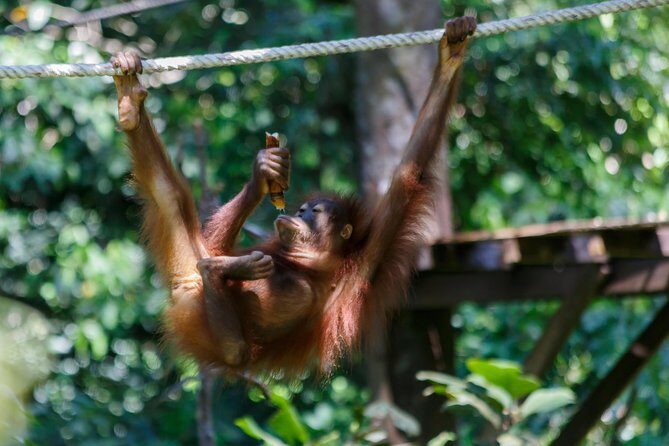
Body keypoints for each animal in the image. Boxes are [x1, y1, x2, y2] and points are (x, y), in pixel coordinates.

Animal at [111, 16, 476, 378]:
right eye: (301, 208)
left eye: (314, 211)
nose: (298, 214)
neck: (315, 261)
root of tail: (187, 288)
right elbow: (214, 242)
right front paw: (264, 172)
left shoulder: (367, 262)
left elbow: (408, 174)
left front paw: (452, 54)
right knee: (171, 197)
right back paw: (130, 103)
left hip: (205, 309)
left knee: (234, 348)